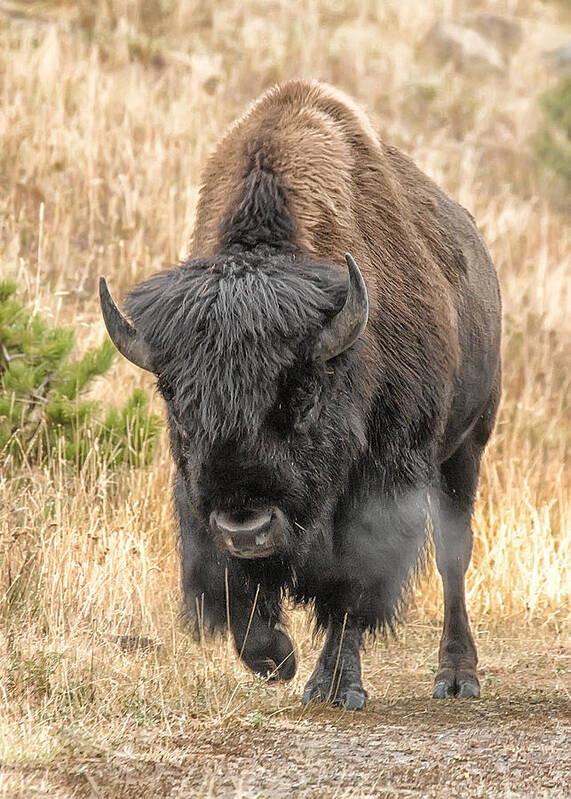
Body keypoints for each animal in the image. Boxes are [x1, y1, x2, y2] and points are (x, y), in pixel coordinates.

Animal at [100, 79, 502, 708]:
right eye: (174, 398)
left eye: (304, 394)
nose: (246, 528)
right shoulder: (199, 504)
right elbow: (236, 591)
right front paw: (277, 661)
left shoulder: (379, 487)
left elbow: (351, 590)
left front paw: (336, 687)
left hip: (467, 445)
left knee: (452, 559)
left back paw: (456, 677)